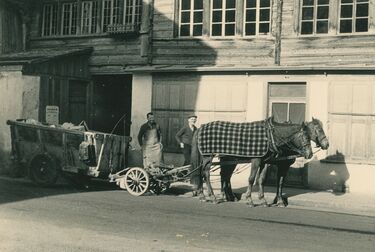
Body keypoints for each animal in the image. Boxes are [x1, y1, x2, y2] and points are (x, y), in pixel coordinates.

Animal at [191, 116, 328, 207]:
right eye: (317, 130)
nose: (326, 144)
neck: (272, 136)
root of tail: (201, 127)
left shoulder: (266, 162)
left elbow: (266, 180)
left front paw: (265, 200)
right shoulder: (257, 160)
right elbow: (252, 179)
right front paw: (249, 200)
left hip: (229, 159)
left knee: (222, 175)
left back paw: (219, 196)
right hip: (208, 157)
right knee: (206, 174)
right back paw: (212, 196)